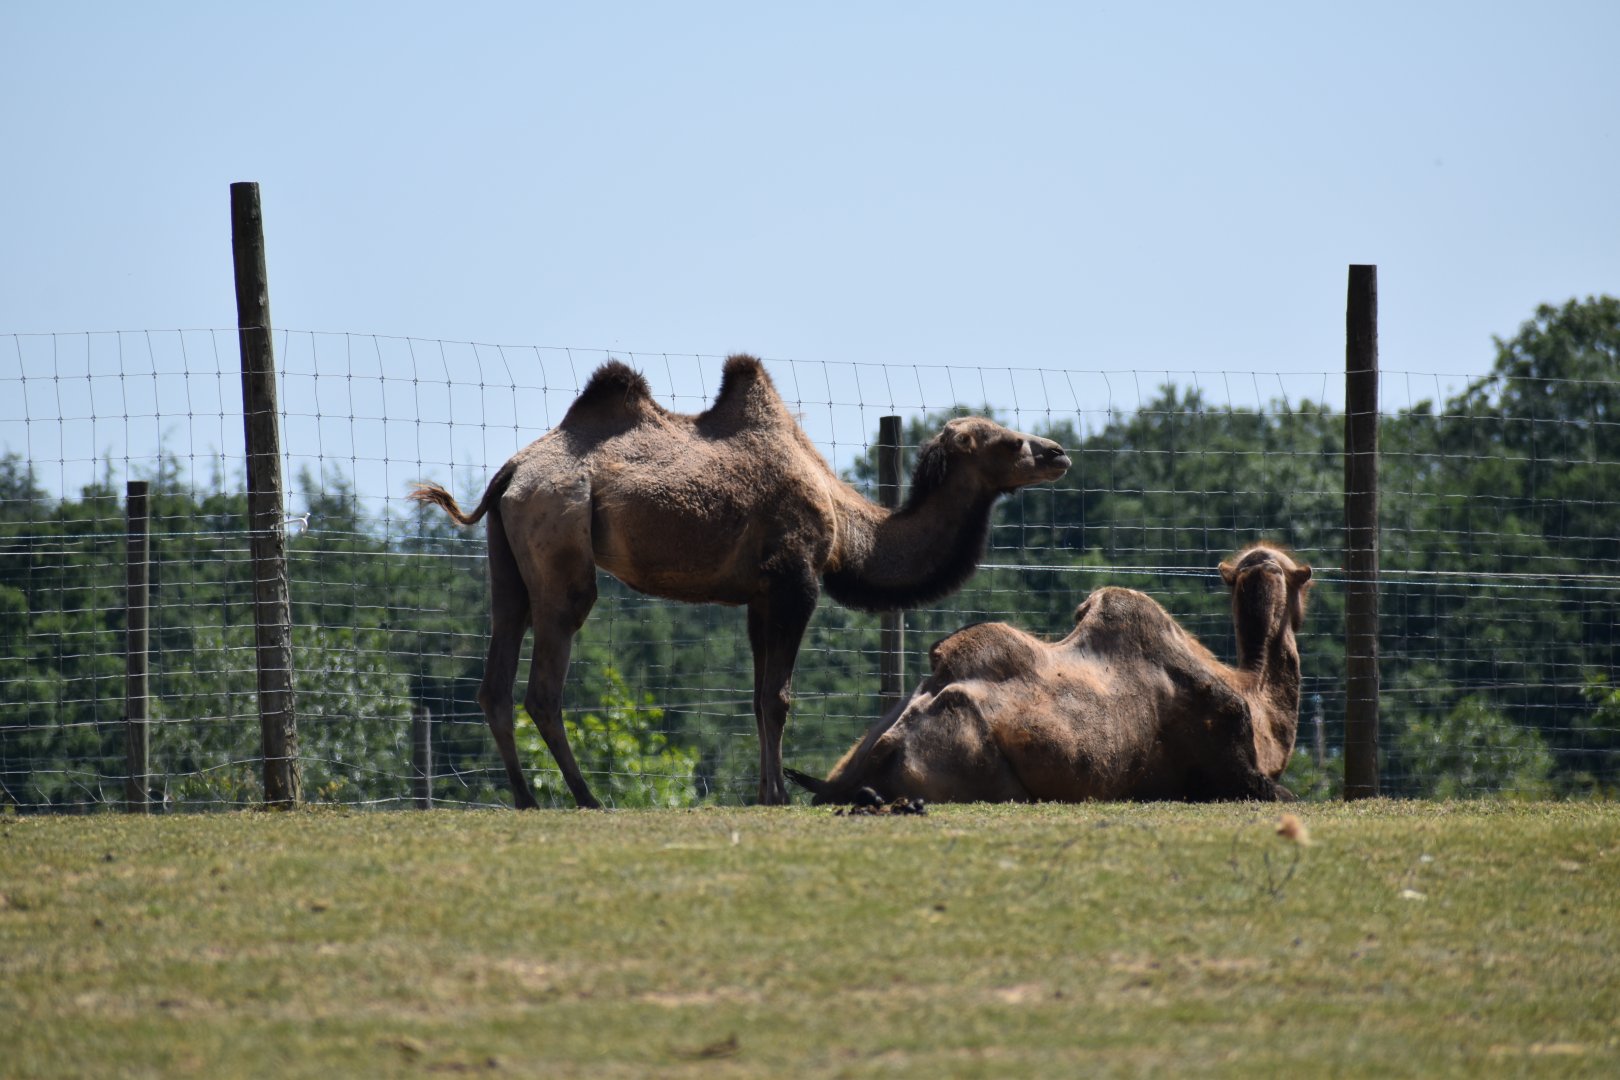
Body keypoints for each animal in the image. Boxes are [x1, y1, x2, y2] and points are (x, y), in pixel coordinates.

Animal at [410, 354, 1070, 808]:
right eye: (1011, 442)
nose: (1059, 452)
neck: (850, 526)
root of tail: (510, 471)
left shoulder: (759, 595)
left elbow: (756, 697)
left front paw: (764, 791)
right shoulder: (796, 579)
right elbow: (778, 697)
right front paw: (778, 796)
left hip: (508, 554)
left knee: (496, 670)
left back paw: (527, 799)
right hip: (560, 537)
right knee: (544, 681)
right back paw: (588, 798)